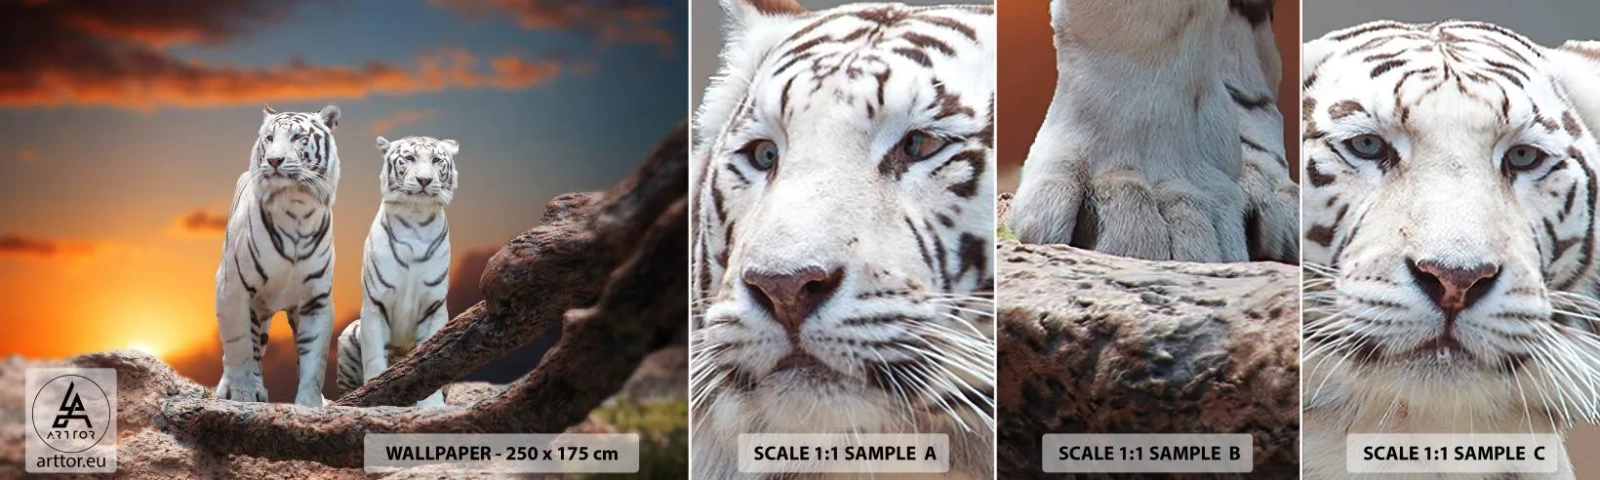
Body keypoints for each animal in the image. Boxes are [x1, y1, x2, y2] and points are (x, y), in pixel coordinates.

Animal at [214, 103, 342, 407]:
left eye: (298, 137)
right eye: (269, 138)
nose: (273, 160)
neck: (297, 206)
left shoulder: (316, 299)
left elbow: (314, 359)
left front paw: (310, 405)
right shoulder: (232, 288)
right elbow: (238, 350)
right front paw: (242, 396)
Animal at [334, 135, 459, 407]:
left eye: (436, 160)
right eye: (409, 158)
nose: (424, 180)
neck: (416, 218)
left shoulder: (434, 307)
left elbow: (432, 359)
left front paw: (432, 406)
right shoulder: (375, 304)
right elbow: (374, 359)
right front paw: (375, 397)